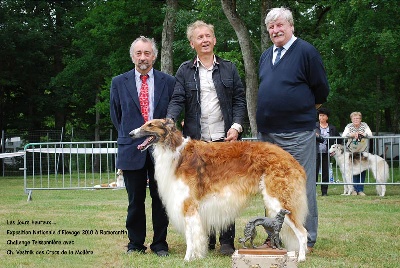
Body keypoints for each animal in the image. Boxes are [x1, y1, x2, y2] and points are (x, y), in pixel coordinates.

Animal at [130, 119, 308, 262]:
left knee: (303, 232)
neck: (176, 153)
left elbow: (190, 236)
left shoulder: (189, 205)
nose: (131, 134)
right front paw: (197, 256)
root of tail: (291, 159)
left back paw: (301, 258)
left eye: (150, 124)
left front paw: (187, 258)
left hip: (278, 202)